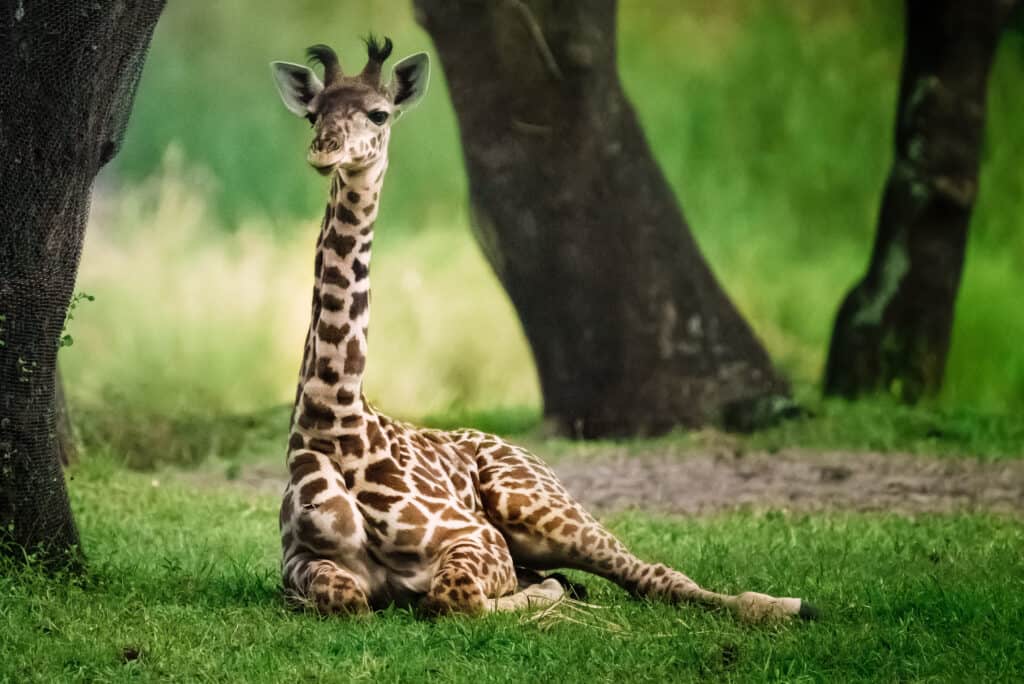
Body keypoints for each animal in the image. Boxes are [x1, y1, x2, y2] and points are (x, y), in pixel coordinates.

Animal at [270, 37, 818, 622]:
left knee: (652, 574)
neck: (334, 421)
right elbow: (346, 596)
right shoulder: (299, 563)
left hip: (540, 508)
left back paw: (786, 605)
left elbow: (453, 596)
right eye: (313, 113)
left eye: (379, 113)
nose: (324, 150)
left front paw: (521, 599)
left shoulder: (478, 538)